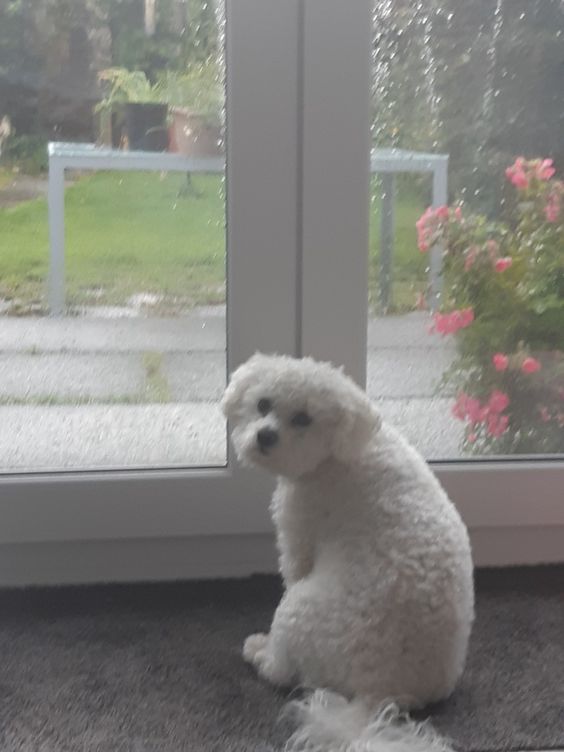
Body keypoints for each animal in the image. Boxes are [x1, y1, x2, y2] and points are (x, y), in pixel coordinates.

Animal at [223, 354, 474, 752]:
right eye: (263, 404)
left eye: (303, 418)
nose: (265, 435)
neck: (340, 452)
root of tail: (378, 689)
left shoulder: (299, 538)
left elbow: (293, 568)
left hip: (298, 609)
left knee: (282, 671)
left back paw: (261, 652)